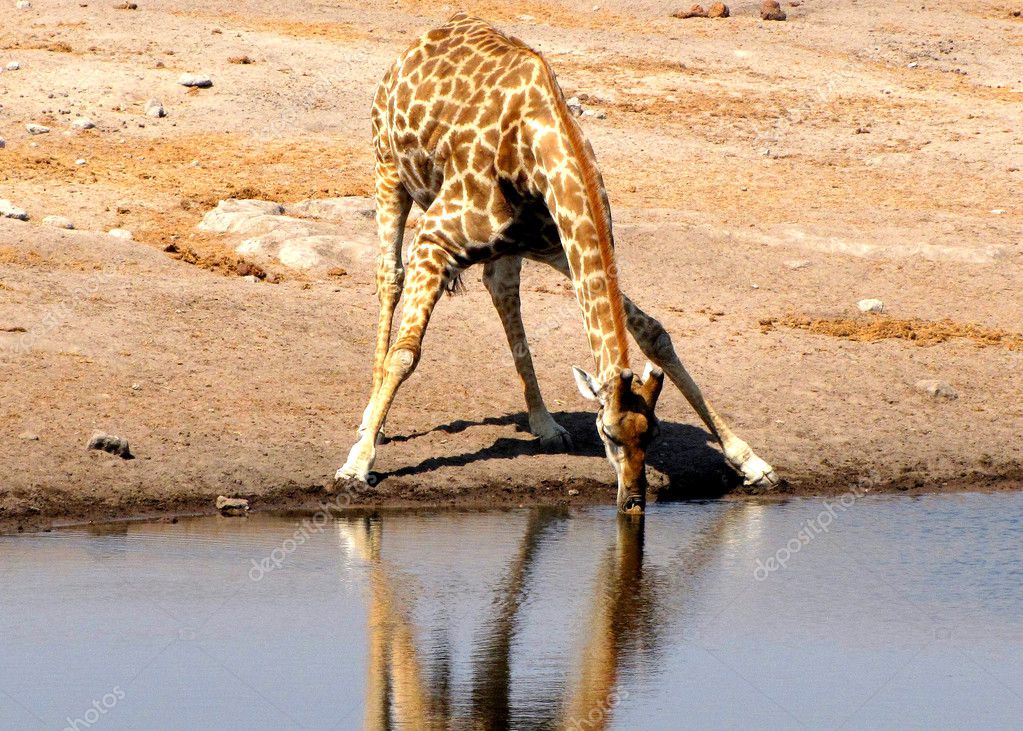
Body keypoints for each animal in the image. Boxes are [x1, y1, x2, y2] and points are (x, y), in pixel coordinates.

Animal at [335, 13, 778, 512]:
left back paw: (544, 423)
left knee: (501, 291)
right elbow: (405, 354)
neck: (534, 148)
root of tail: (421, 39)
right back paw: (372, 422)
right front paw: (357, 464)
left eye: (654, 434)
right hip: (387, 166)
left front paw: (750, 461)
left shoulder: (561, 245)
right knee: (390, 277)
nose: (633, 499)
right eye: (606, 434)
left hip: (511, 248)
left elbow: (654, 332)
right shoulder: (434, 239)